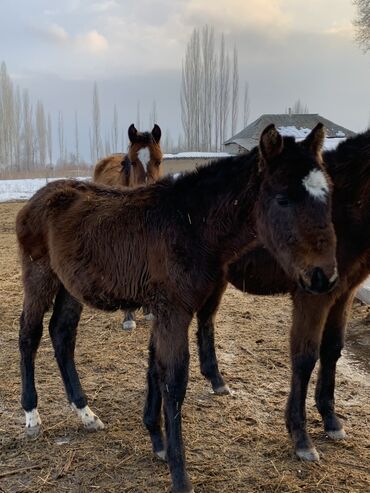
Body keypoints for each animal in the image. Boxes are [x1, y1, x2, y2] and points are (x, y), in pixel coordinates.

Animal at [195, 129, 370, 464]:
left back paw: (216, 380)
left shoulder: (343, 292)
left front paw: (331, 420)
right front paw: (301, 437)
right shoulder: (312, 295)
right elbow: (305, 357)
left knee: (206, 320)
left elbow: (333, 350)